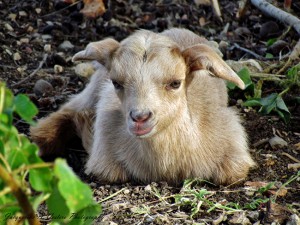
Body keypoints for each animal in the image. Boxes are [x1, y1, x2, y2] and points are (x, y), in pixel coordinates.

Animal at [31, 28, 255, 185]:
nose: (140, 118)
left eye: (176, 83)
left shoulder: (234, 152)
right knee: (68, 111)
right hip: (94, 88)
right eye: (116, 83)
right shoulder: (104, 157)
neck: (166, 167)